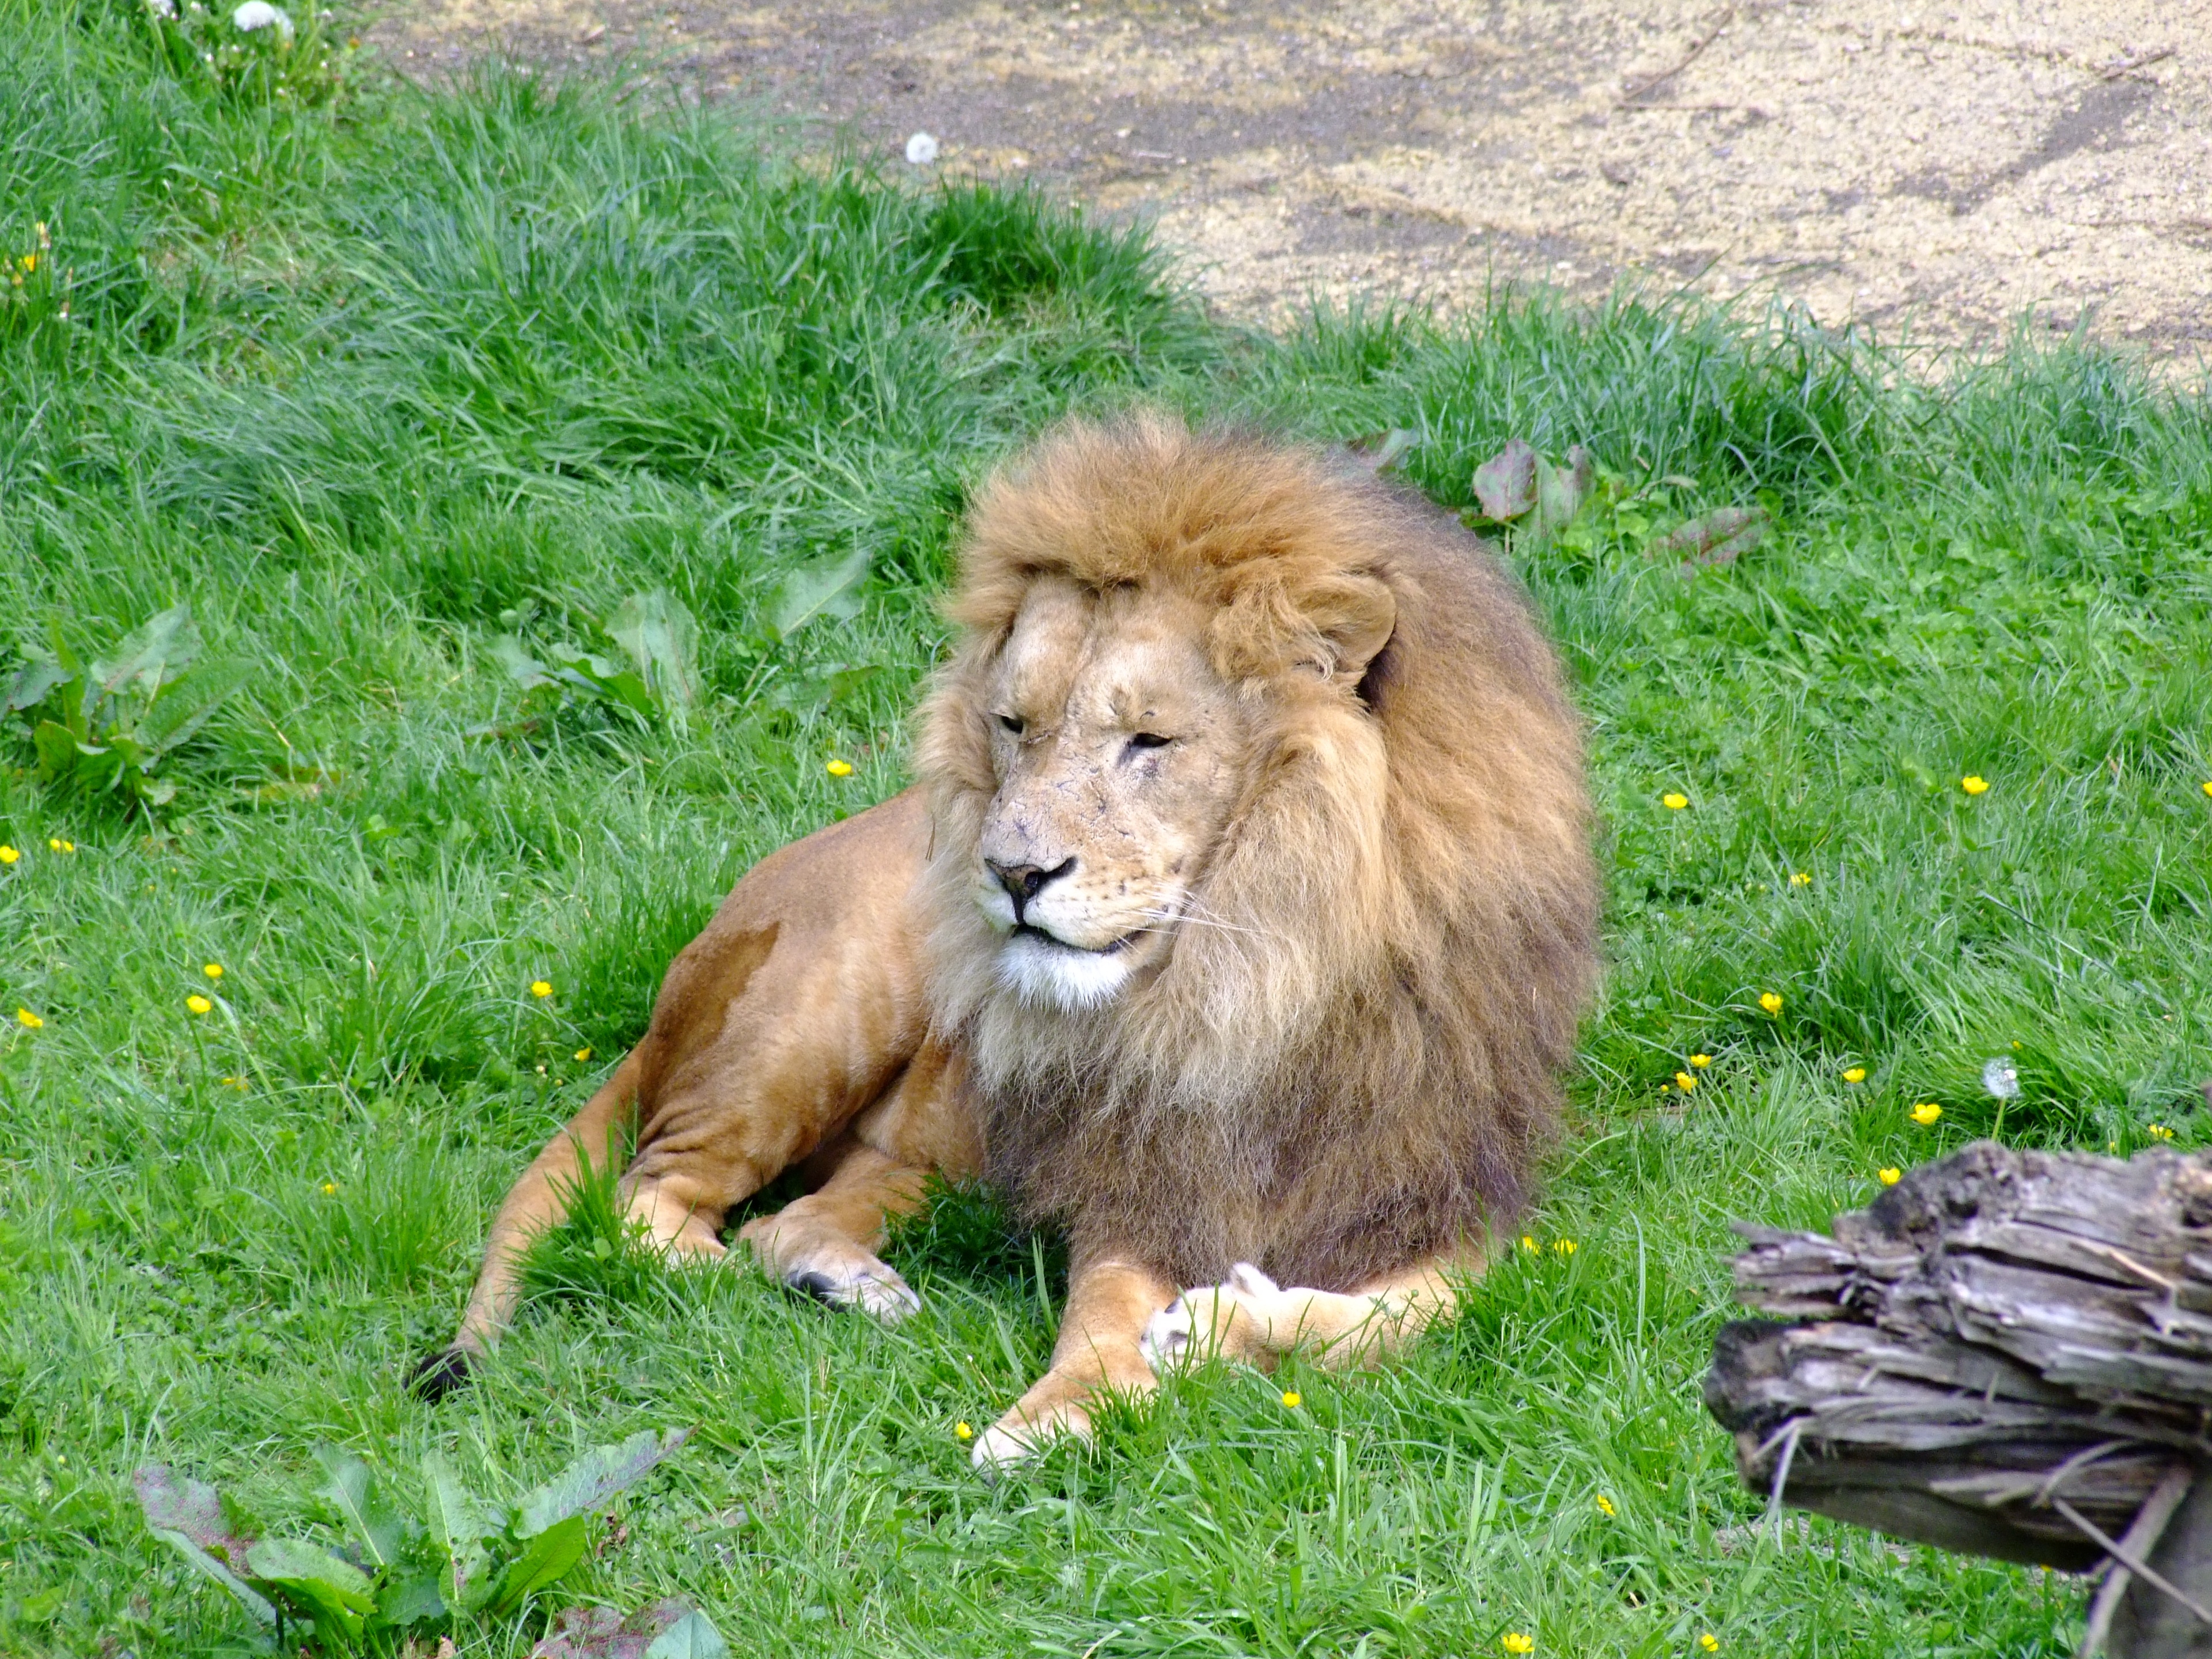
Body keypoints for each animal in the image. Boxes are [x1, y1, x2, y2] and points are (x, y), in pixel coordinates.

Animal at [418, 414, 1592, 1468]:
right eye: (1014, 725)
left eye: (1149, 740)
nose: (1015, 874)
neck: (1253, 981)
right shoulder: (1134, 1190)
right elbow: (1105, 1319)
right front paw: (1058, 1415)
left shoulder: (1443, 1199)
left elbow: (1406, 1321)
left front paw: (1219, 1327)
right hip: (823, 1009)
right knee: (645, 1207)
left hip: (937, 1157)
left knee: (787, 1217)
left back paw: (843, 1283)